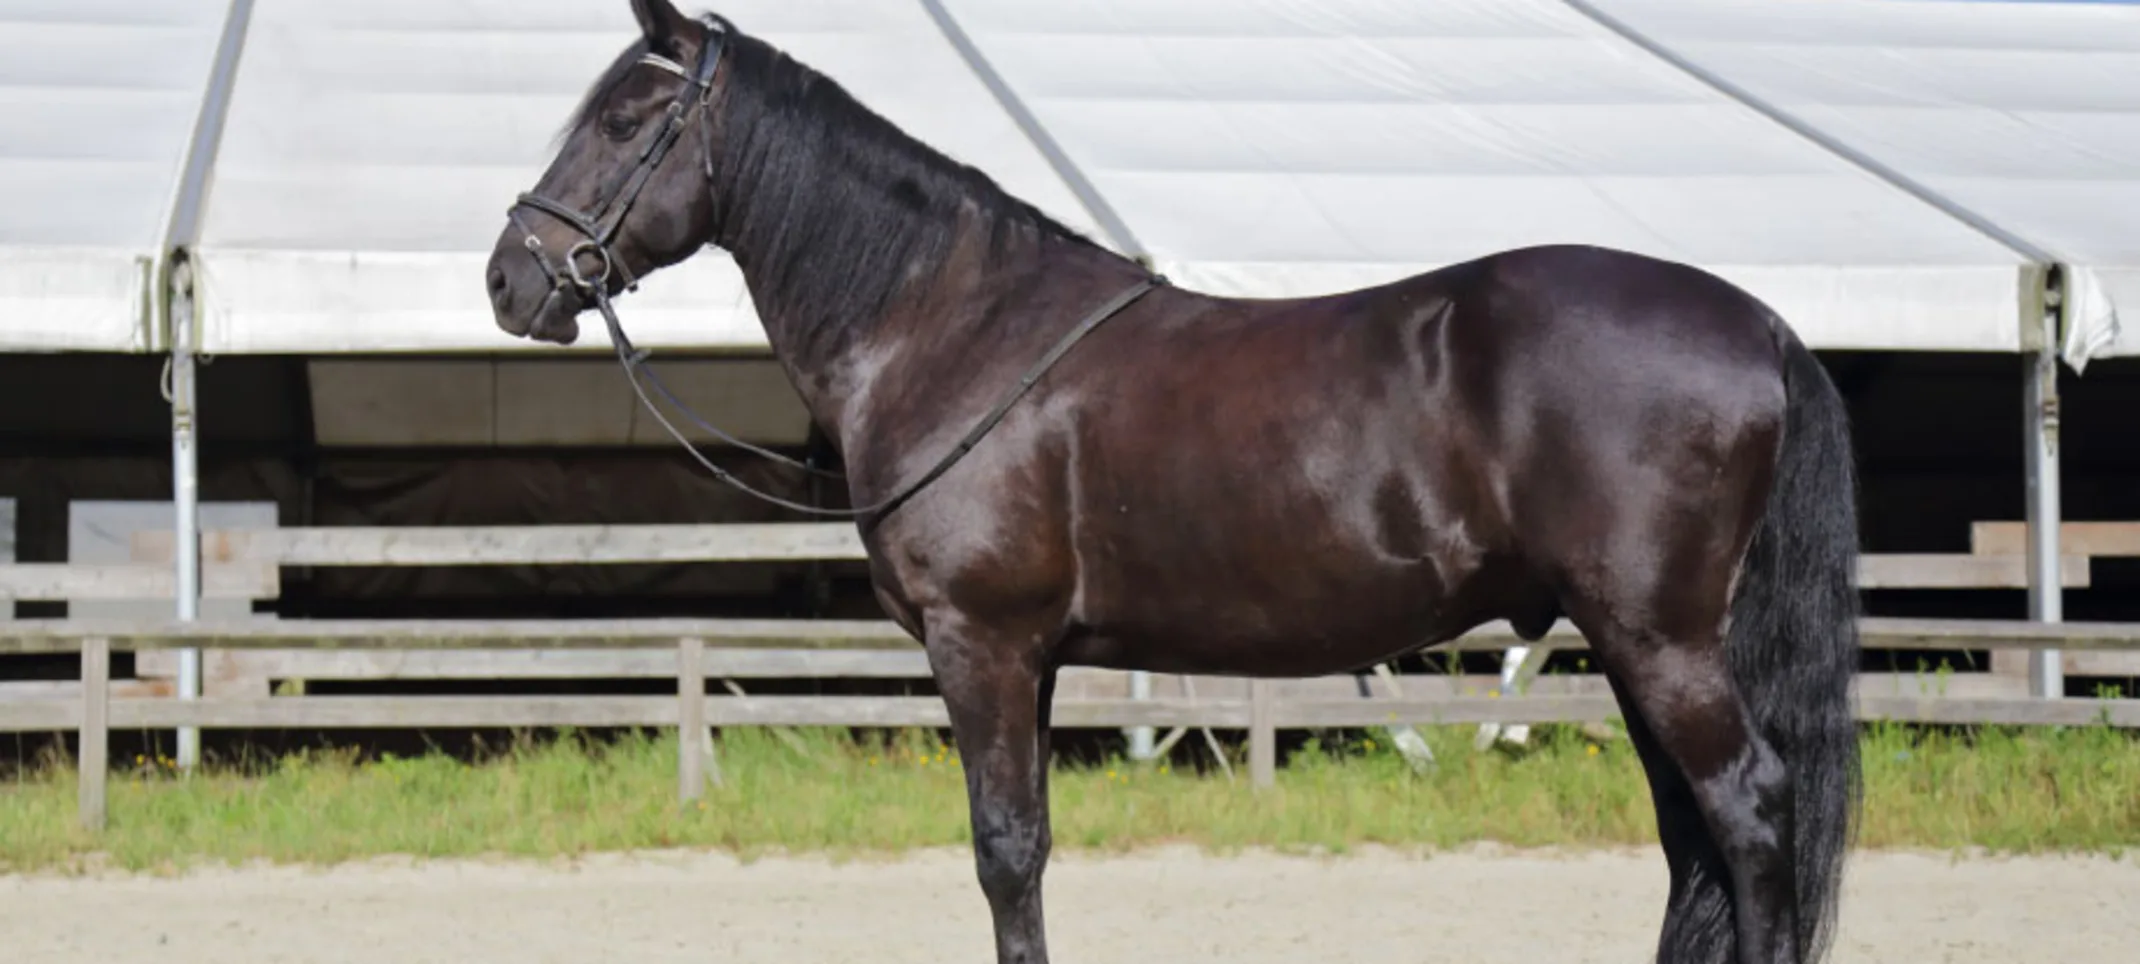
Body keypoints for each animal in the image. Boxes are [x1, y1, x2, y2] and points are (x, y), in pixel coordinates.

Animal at [485, 3, 1857, 959]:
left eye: (623, 122)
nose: (510, 280)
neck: (950, 325)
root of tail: (1757, 324)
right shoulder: (1033, 656)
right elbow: (1030, 847)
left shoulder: (980, 642)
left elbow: (1002, 849)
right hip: (1636, 643)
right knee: (1692, 836)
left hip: (1658, 641)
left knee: (1746, 812)